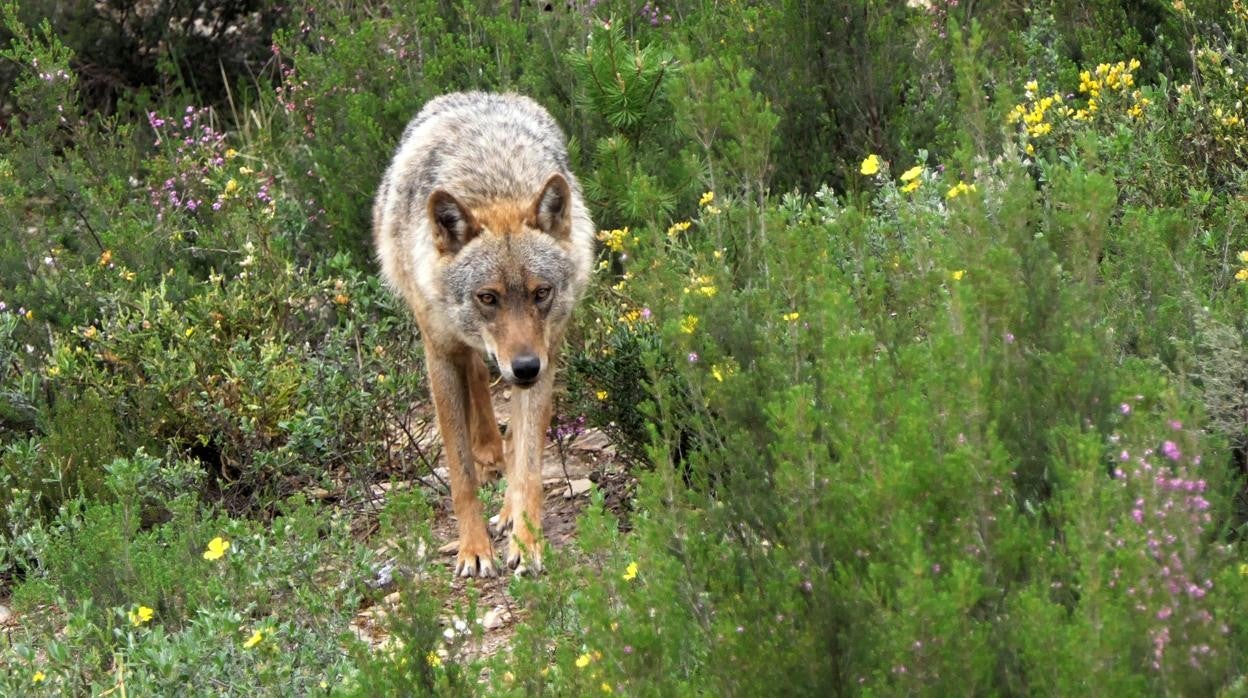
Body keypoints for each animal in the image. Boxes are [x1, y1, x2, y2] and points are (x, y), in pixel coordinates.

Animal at [371, 93, 596, 579]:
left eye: (541, 293)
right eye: (487, 297)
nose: (525, 367)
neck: (494, 185)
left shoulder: (546, 353)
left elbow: (529, 464)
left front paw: (526, 542)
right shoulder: (438, 355)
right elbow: (460, 475)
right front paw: (473, 549)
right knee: (476, 372)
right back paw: (488, 451)